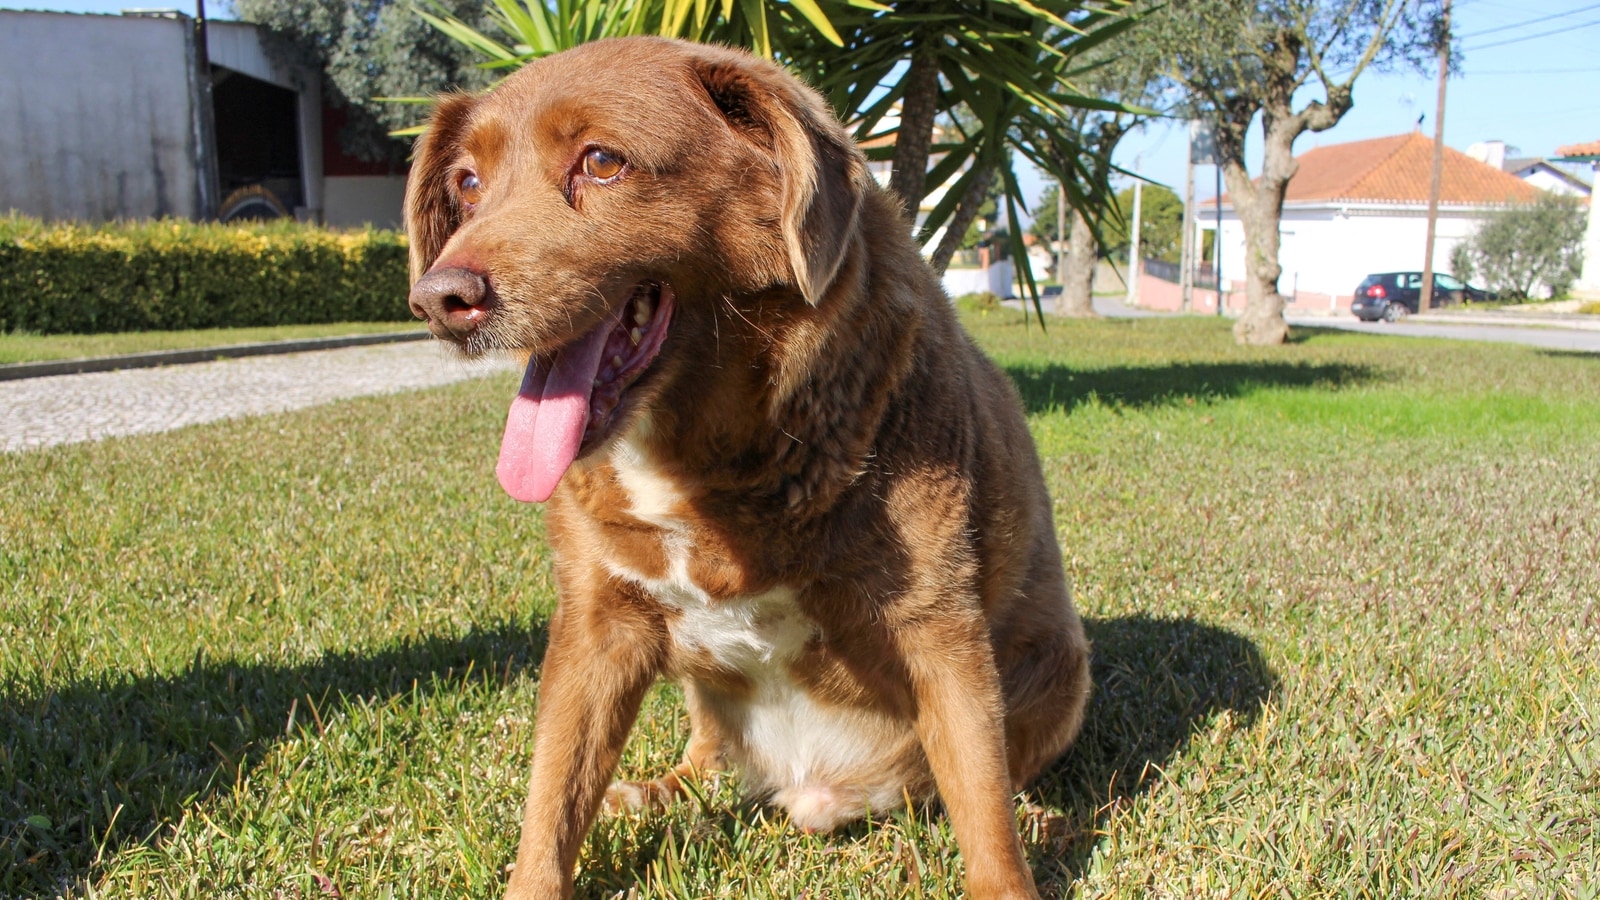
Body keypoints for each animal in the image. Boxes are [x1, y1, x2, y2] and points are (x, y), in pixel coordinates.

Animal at [406, 36, 1094, 896]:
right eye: (467, 183)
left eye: (601, 161)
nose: (438, 299)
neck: (704, 460)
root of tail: (812, 785)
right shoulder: (596, 625)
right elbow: (552, 800)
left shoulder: (940, 627)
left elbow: (985, 813)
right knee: (703, 759)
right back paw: (653, 792)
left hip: (1062, 674)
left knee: (983, 779)